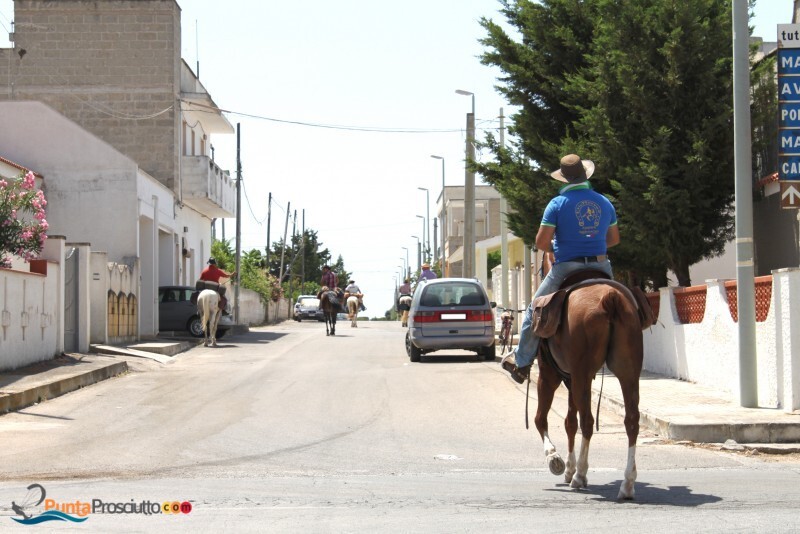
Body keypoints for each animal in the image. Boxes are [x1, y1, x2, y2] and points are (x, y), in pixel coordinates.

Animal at [536, 276, 648, 502]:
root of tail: (610, 298)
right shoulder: (571, 378)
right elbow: (569, 422)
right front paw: (568, 468)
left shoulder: (549, 374)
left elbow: (541, 419)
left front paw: (555, 458)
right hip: (628, 371)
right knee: (632, 420)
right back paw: (627, 484)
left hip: (582, 373)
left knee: (587, 420)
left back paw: (580, 475)